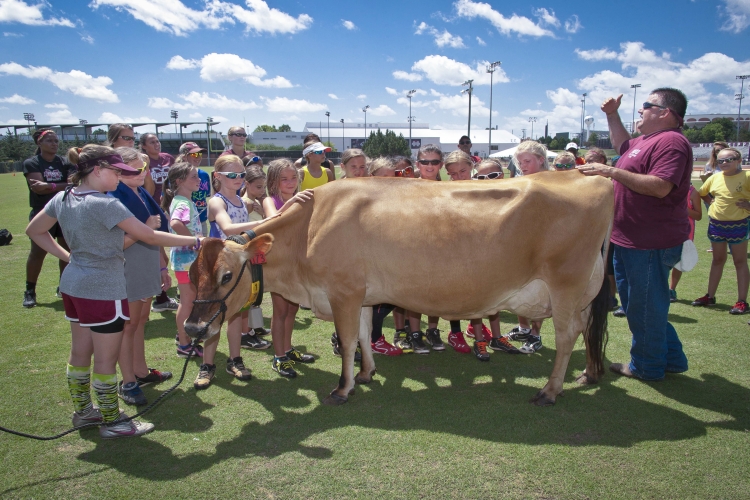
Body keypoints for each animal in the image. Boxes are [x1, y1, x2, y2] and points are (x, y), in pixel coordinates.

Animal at [185, 172, 612, 406]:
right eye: (192, 271)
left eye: (226, 276)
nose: (192, 327)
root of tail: (590, 176)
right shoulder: (358, 294)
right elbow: (360, 335)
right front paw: (367, 374)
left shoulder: (342, 291)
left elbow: (347, 340)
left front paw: (343, 388)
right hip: (583, 289)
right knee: (587, 327)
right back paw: (586, 376)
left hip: (566, 283)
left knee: (567, 334)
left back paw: (550, 391)